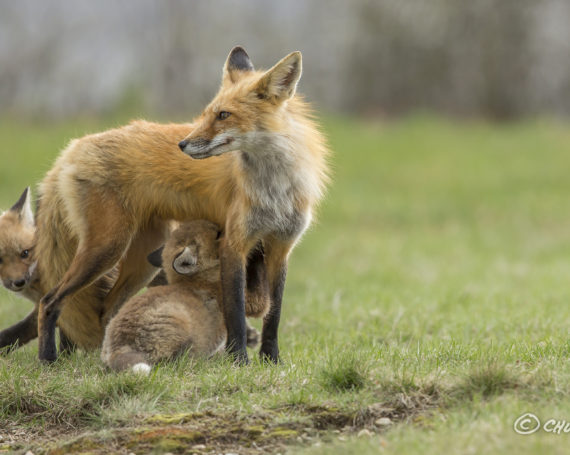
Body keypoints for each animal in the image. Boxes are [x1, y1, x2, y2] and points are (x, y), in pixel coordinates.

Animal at [36, 47, 328, 364]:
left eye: (224, 115)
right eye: (207, 114)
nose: (182, 144)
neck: (274, 188)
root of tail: (74, 147)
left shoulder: (281, 247)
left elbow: (273, 314)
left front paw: (271, 360)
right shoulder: (234, 244)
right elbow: (236, 313)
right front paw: (239, 360)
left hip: (143, 259)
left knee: (105, 310)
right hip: (107, 249)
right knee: (49, 301)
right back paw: (48, 358)